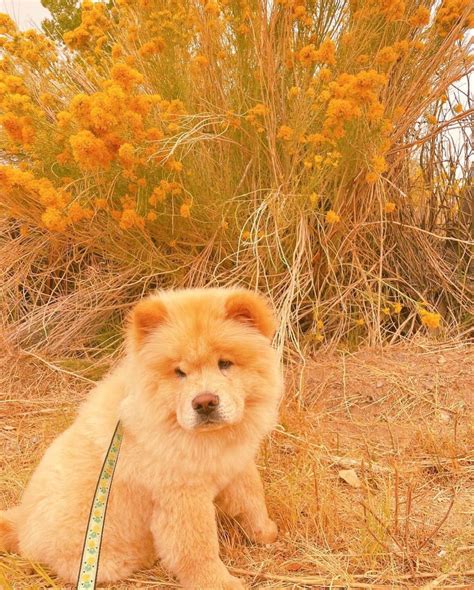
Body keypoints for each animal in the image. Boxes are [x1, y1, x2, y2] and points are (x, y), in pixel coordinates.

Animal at [0, 290, 282, 588]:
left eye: (225, 363)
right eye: (179, 372)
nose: (205, 402)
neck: (205, 439)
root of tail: (22, 525)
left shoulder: (236, 465)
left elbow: (252, 499)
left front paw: (266, 532)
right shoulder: (182, 495)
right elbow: (198, 547)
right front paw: (219, 582)